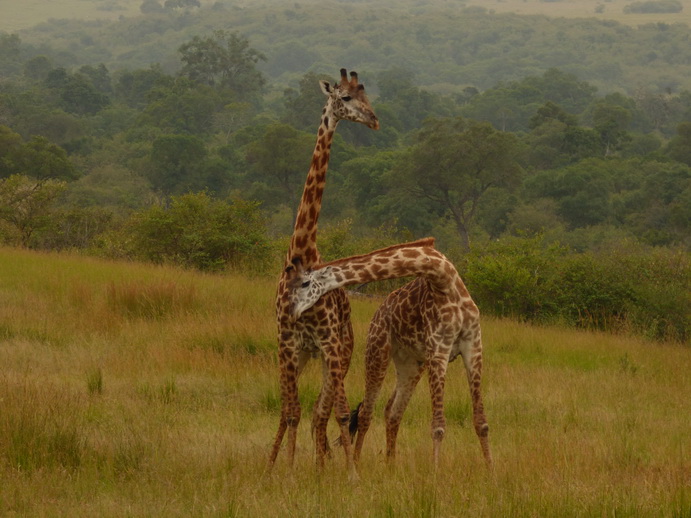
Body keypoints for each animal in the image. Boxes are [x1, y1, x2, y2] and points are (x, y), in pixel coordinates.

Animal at [268, 69, 378, 480]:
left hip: (340, 355)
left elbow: (339, 414)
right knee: (304, 412)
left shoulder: (329, 343)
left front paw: (351, 475)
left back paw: (326, 464)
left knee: (325, 413)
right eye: (344, 97)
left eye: (366, 96)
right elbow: (290, 412)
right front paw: (280, 471)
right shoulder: (286, 341)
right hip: (304, 355)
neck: (302, 253)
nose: (374, 120)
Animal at [286, 240, 492, 472]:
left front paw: (490, 471)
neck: (444, 278)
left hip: (411, 364)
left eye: (304, 283)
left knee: (393, 411)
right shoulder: (439, 349)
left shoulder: (473, 345)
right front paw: (436, 473)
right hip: (377, 353)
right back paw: (357, 462)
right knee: (366, 413)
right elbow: (438, 426)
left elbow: (481, 423)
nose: (292, 311)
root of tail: (377, 314)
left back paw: (390, 465)